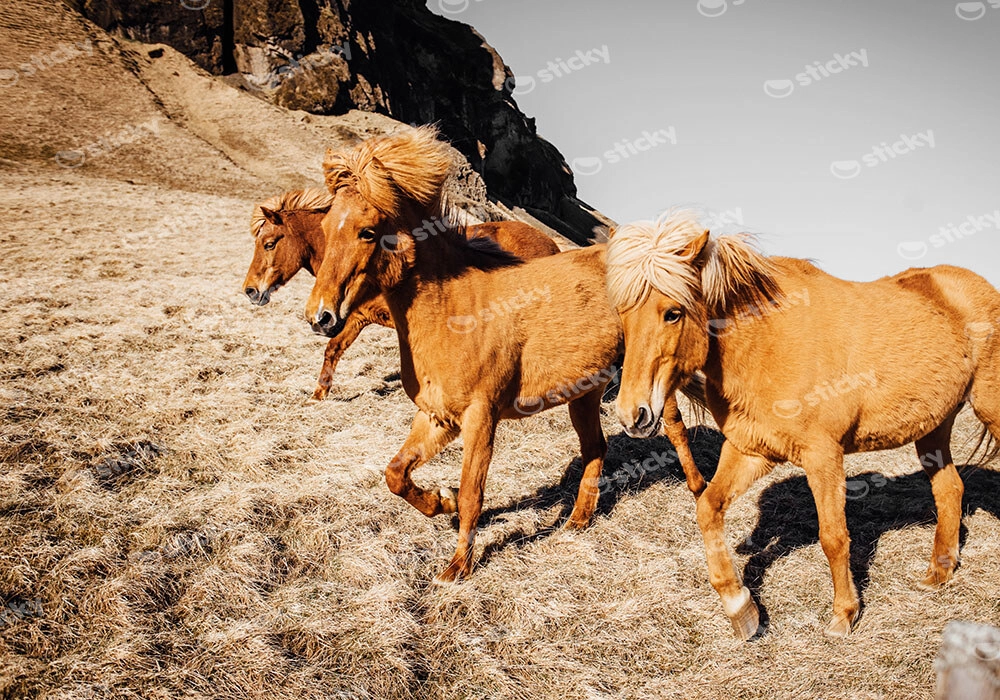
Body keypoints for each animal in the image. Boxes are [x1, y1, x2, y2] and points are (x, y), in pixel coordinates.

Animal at [242, 188, 562, 400]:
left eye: (269, 243)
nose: (250, 291)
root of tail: (551, 245)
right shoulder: (358, 319)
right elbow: (333, 349)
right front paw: (318, 395)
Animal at [304, 126, 706, 582]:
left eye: (367, 232)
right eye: (326, 225)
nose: (320, 316)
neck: (456, 310)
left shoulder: (481, 418)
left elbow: (472, 493)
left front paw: (457, 567)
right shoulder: (436, 416)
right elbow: (396, 474)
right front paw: (440, 500)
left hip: (647, 378)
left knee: (674, 427)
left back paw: (699, 491)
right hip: (586, 393)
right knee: (596, 448)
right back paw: (577, 521)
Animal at [605, 210, 1000, 639]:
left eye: (672, 312)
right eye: (622, 313)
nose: (632, 415)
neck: (766, 342)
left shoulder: (823, 456)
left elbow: (833, 536)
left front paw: (844, 615)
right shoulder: (750, 450)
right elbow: (708, 507)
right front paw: (740, 607)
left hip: (989, 409)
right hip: (934, 427)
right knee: (950, 489)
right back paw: (938, 573)